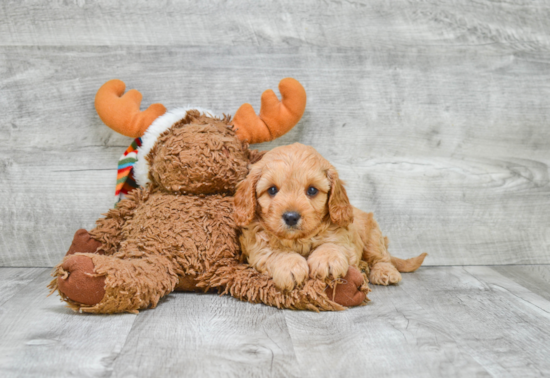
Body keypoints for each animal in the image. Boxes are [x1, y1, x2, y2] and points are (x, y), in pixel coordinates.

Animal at [235, 143, 430, 290]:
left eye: (312, 190)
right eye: (272, 190)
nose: (291, 217)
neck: (299, 240)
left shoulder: (344, 237)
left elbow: (332, 244)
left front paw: (326, 260)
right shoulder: (257, 247)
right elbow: (275, 253)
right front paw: (290, 265)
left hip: (372, 236)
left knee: (382, 257)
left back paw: (384, 272)